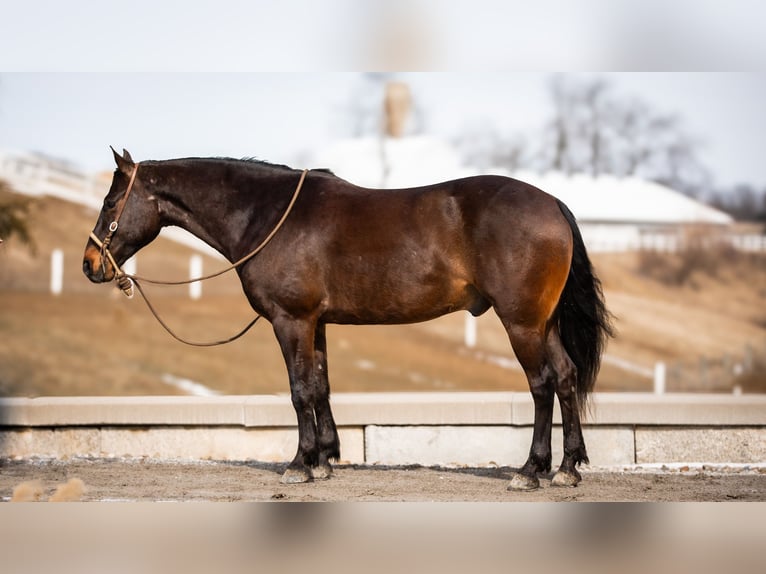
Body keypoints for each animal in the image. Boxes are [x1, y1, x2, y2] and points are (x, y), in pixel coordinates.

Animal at [84, 147, 616, 490]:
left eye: (110, 202)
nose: (91, 264)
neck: (266, 215)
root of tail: (552, 204)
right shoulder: (315, 323)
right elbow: (320, 386)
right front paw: (324, 459)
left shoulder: (291, 321)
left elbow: (299, 391)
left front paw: (299, 464)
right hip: (544, 323)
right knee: (566, 378)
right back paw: (567, 468)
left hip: (521, 323)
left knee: (542, 384)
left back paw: (531, 471)